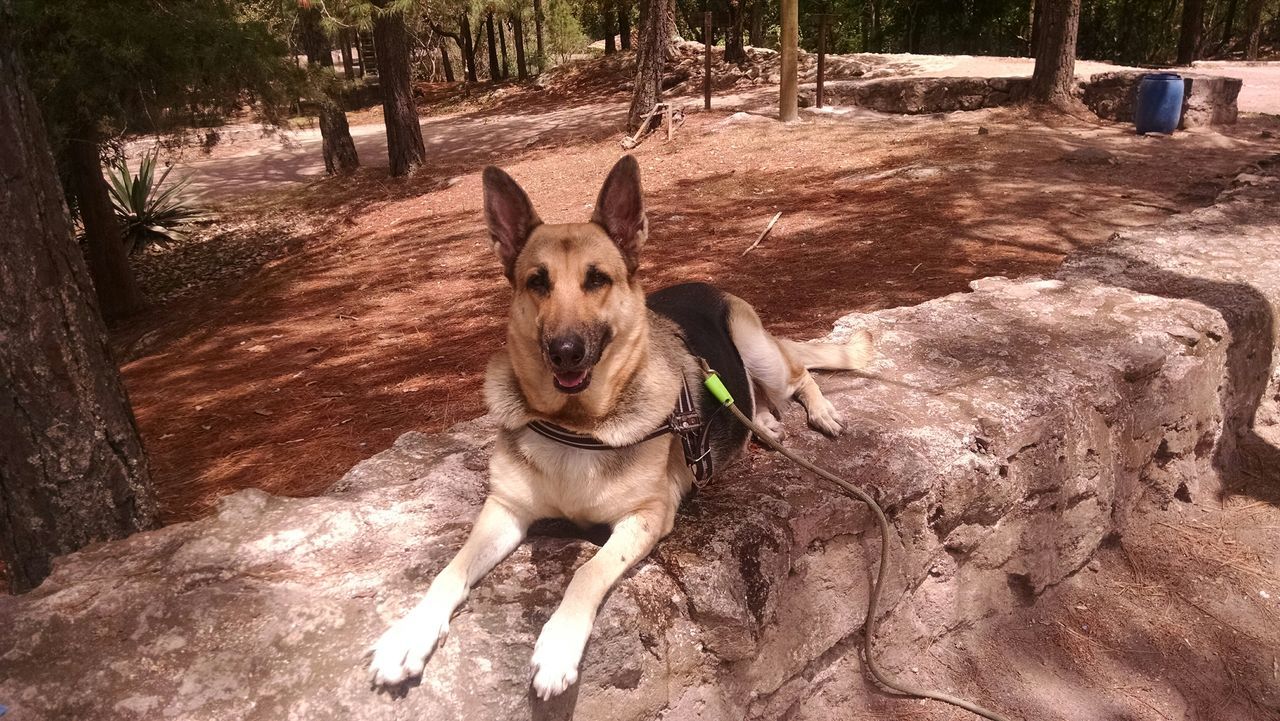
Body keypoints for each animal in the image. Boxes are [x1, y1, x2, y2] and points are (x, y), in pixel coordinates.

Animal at [368, 153, 870, 701]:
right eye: (537, 282)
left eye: (597, 280)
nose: (565, 351)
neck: (577, 424)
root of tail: (704, 284)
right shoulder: (504, 511)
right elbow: (450, 570)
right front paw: (410, 633)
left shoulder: (646, 517)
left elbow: (587, 572)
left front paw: (558, 646)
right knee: (753, 400)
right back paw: (762, 425)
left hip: (755, 345)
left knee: (797, 377)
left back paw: (820, 413)